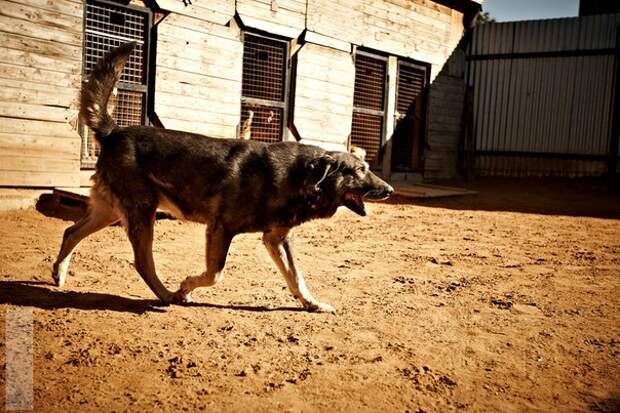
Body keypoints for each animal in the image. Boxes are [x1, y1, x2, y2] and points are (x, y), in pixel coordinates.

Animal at [53, 42, 392, 312]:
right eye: (359, 171)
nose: (388, 189)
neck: (298, 177)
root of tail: (114, 132)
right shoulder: (221, 229)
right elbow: (215, 273)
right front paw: (185, 286)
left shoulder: (276, 238)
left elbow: (296, 278)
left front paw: (312, 304)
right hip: (140, 213)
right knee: (142, 262)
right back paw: (167, 295)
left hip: (111, 211)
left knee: (71, 232)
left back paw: (59, 273)